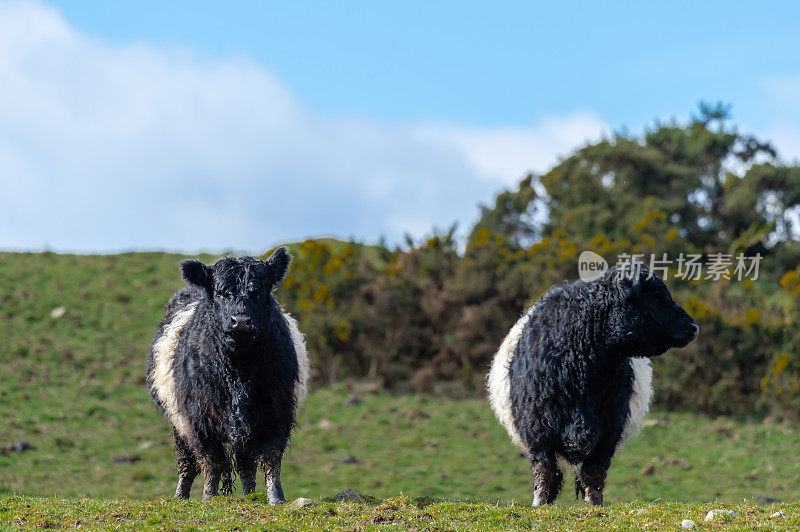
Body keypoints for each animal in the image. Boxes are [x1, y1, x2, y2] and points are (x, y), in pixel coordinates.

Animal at [145, 248, 308, 502]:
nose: (240, 321)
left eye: (258, 291)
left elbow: (270, 457)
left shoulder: (277, 409)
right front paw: (209, 497)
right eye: (221, 293)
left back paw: (250, 493)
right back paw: (181, 496)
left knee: (245, 463)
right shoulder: (199, 416)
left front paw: (276, 498)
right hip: (178, 420)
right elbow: (212, 460)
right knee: (187, 461)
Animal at [484, 264, 696, 504]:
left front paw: (595, 504)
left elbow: (593, 472)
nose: (693, 326)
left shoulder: (609, 428)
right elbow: (544, 470)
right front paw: (540, 503)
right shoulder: (536, 428)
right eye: (656, 297)